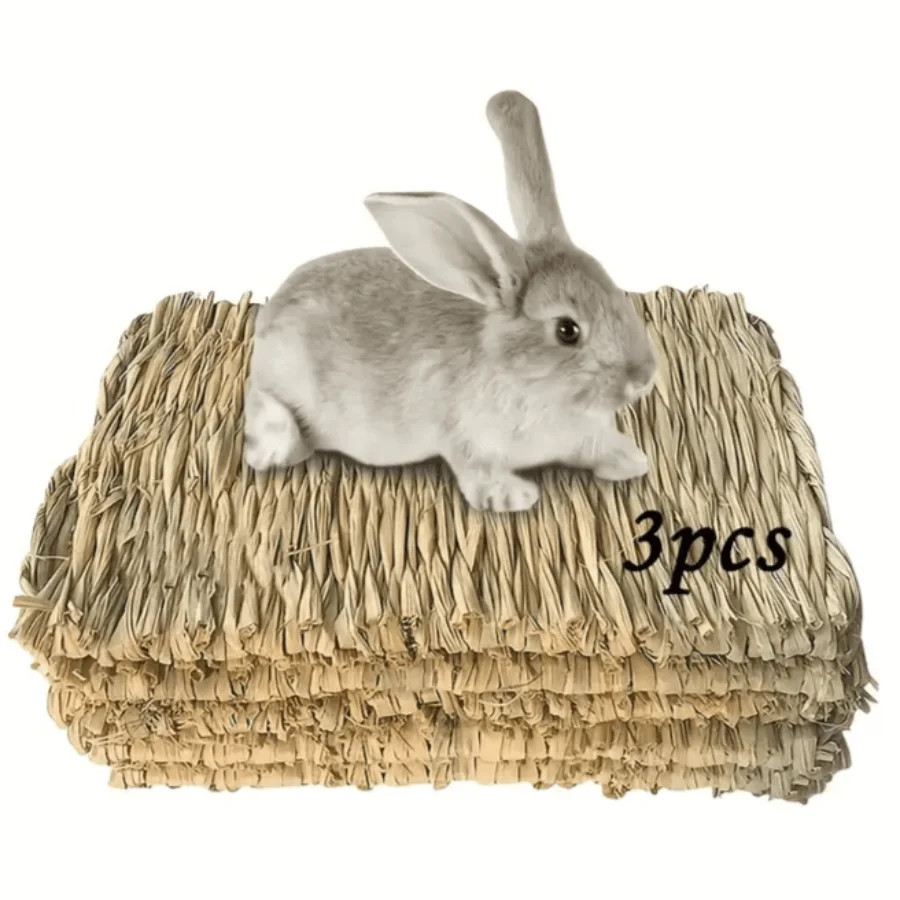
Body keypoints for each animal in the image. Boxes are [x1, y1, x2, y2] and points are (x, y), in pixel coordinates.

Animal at [243, 90, 656, 512]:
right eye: (567, 330)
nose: (644, 376)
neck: (521, 378)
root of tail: (273, 307)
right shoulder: (468, 439)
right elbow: (478, 470)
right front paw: (513, 495)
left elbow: (596, 445)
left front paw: (630, 459)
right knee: (260, 401)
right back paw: (275, 449)